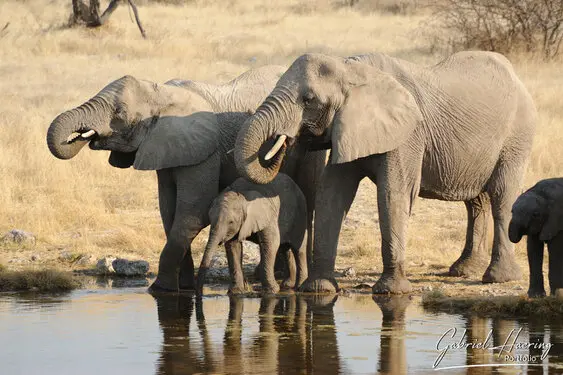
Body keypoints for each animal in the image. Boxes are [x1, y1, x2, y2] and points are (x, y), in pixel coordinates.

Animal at [46, 66, 328, 292]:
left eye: (120, 112)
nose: (81, 135)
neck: (163, 93)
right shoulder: (166, 148)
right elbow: (169, 213)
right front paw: (184, 287)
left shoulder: (204, 153)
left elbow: (193, 212)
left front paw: (160, 290)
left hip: (311, 146)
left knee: (308, 201)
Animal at [234, 51, 536, 296]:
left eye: (308, 100)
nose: (285, 141)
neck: (351, 69)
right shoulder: (347, 126)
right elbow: (332, 194)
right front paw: (319, 289)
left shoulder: (409, 135)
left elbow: (393, 194)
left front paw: (391, 291)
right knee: (475, 203)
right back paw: (464, 270)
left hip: (517, 137)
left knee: (501, 197)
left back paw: (498, 278)